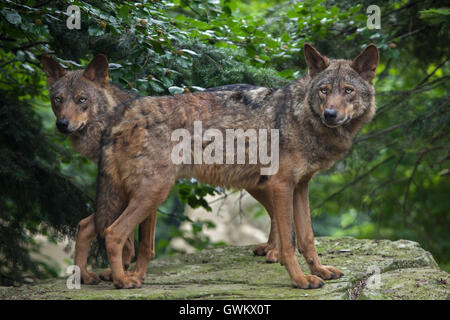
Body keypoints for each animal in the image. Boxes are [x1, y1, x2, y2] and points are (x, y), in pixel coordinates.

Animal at [43, 43, 380, 290]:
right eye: (324, 90)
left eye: (347, 90)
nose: (331, 114)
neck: (300, 117)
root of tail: (125, 114)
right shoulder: (282, 185)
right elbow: (289, 243)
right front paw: (299, 280)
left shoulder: (300, 187)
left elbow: (307, 237)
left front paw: (320, 271)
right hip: (153, 192)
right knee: (112, 232)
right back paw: (123, 282)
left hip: (139, 193)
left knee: (90, 225)